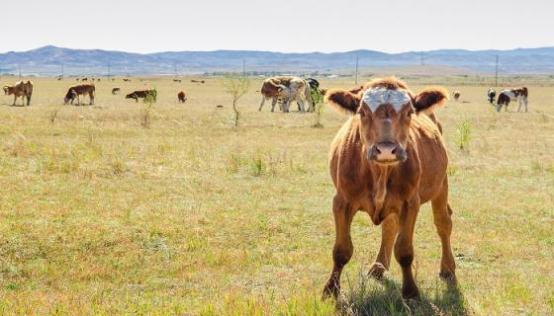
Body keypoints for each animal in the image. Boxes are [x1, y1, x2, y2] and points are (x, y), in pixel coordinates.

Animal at [320, 78, 452, 300]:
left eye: (409, 112)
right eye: (363, 112)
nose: (386, 150)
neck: (379, 172)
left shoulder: (410, 203)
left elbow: (405, 251)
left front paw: (410, 291)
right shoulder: (341, 202)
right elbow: (341, 250)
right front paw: (331, 289)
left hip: (441, 184)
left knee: (443, 223)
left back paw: (448, 268)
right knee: (390, 226)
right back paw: (378, 267)